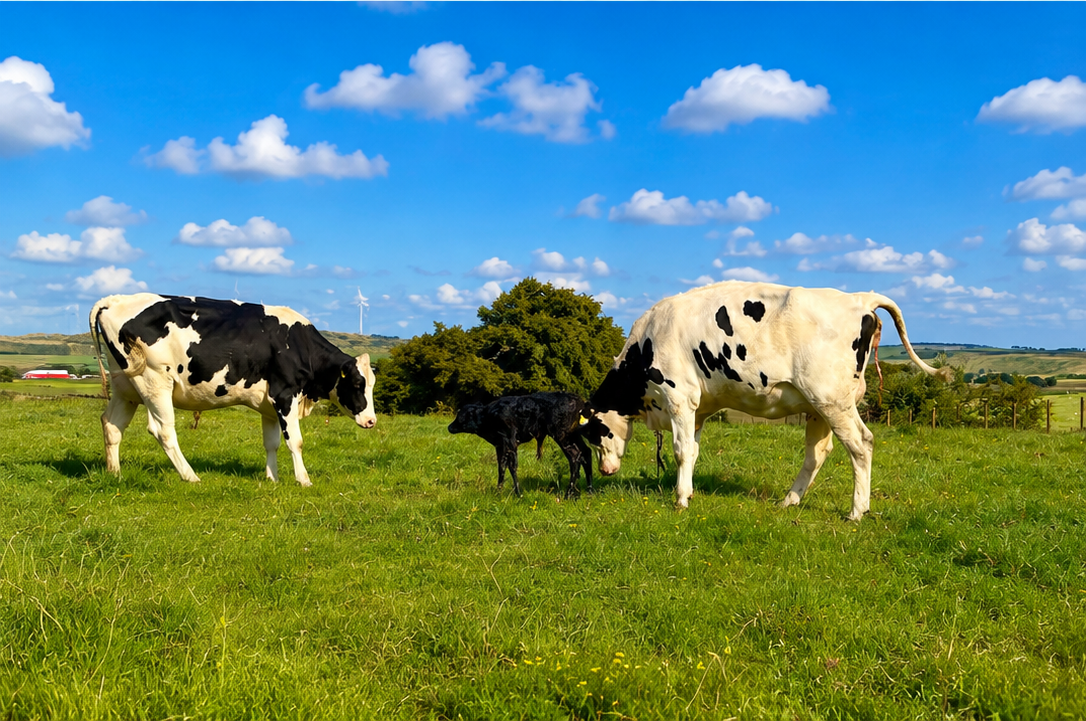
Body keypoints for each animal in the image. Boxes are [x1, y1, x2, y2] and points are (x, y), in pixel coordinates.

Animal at [90, 293, 376, 486]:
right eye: (357, 384)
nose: (371, 421)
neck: (298, 344)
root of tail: (115, 300)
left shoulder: (269, 404)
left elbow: (271, 443)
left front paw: (272, 478)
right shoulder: (285, 394)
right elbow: (295, 441)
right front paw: (303, 480)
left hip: (126, 388)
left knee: (111, 424)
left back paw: (114, 473)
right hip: (155, 381)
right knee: (162, 430)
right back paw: (191, 476)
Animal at [448, 392, 595, 498]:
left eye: (461, 417)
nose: (449, 427)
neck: (488, 416)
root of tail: (579, 401)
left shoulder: (510, 441)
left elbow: (512, 466)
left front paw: (518, 493)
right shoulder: (500, 445)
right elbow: (501, 467)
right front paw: (498, 490)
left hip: (562, 436)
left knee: (575, 457)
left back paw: (568, 493)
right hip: (574, 436)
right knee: (586, 452)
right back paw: (589, 490)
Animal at [585, 280, 952, 521]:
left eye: (596, 433)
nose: (604, 470)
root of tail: (860, 298)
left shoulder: (679, 397)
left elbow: (680, 451)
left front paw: (680, 501)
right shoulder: (698, 409)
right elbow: (693, 450)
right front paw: (687, 491)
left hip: (832, 399)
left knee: (862, 445)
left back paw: (856, 511)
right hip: (818, 407)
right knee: (817, 454)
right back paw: (789, 501)